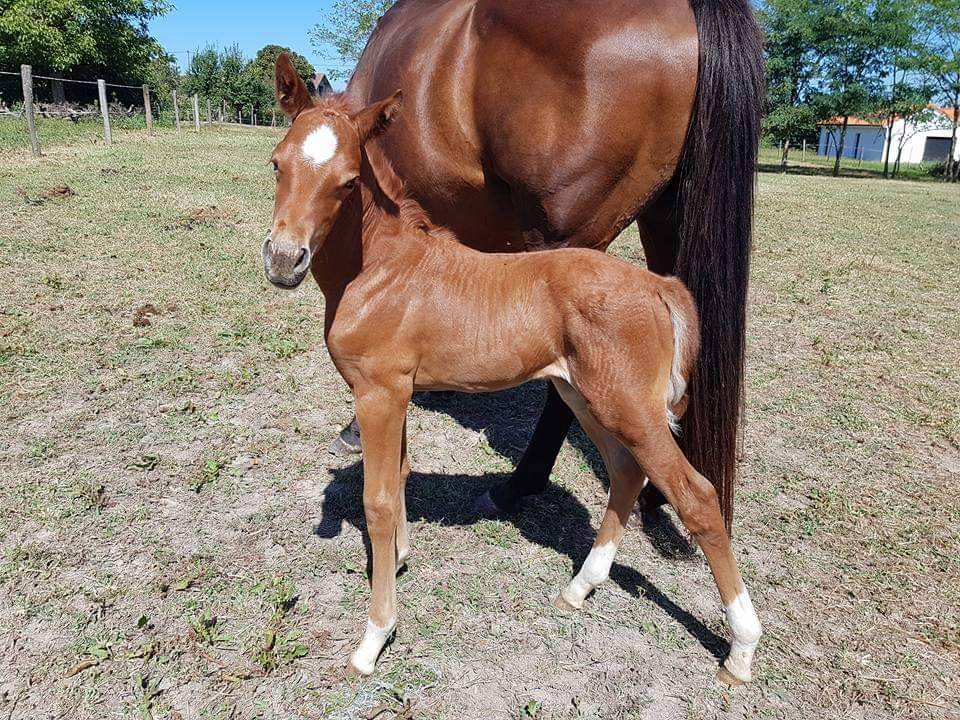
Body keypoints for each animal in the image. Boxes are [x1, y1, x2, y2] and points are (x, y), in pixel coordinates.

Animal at [261, 56, 763, 683]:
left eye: (349, 181)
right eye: (276, 162)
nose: (283, 261)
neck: (381, 270)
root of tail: (657, 285)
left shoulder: (378, 393)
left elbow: (377, 501)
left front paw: (374, 637)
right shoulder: (399, 393)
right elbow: (399, 479)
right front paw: (399, 560)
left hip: (630, 407)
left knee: (696, 496)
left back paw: (741, 648)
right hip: (585, 397)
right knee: (627, 472)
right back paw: (580, 587)